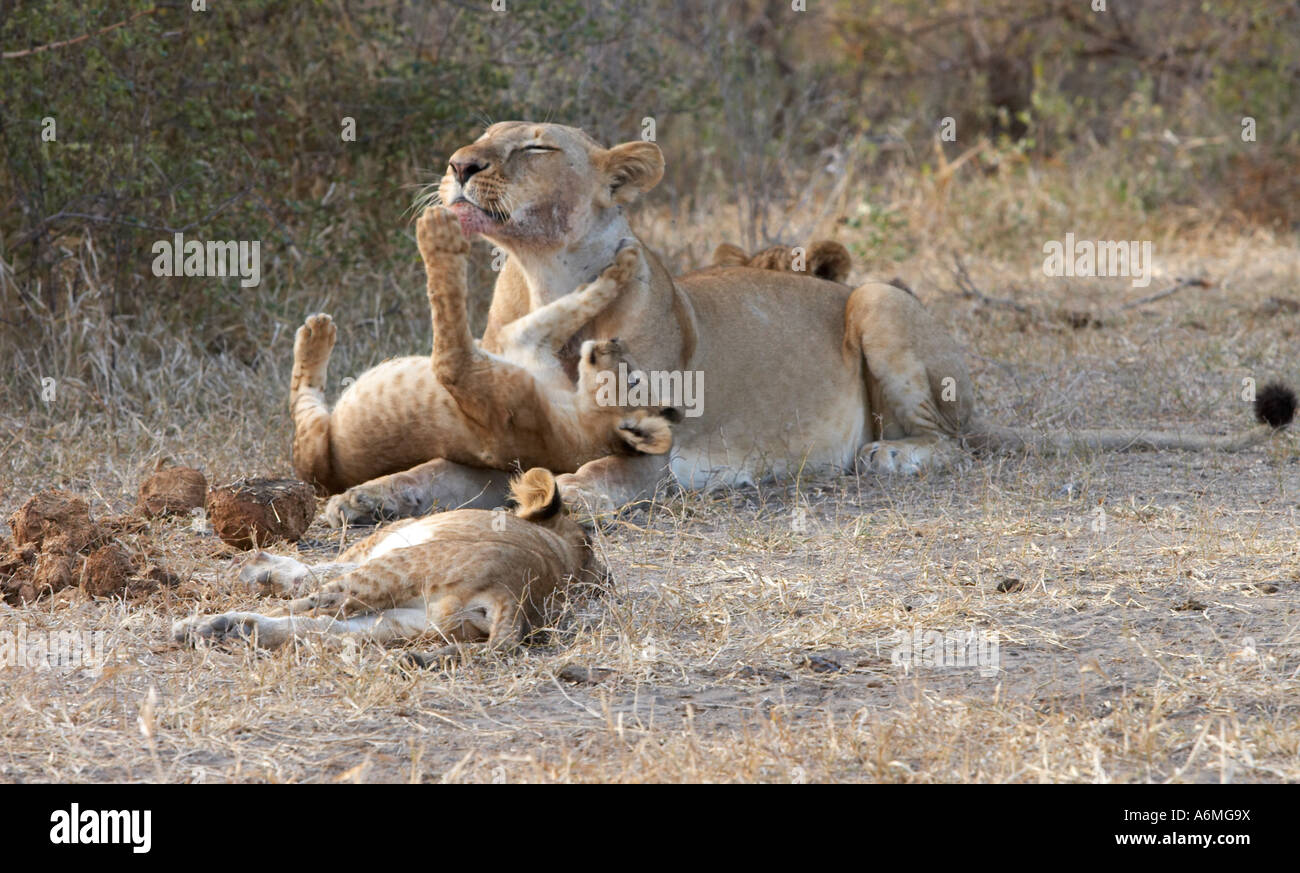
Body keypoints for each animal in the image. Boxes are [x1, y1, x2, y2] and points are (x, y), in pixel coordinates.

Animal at [172, 468, 602, 660]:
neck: (566, 551)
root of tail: (517, 593)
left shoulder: (379, 543)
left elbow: (317, 570)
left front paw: (246, 570)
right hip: (408, 624)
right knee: (318, 627)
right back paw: (229, 630)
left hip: (393, 569)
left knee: (308, 607)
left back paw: (204, 624)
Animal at [297, 121, 1295, 525]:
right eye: (477, 140)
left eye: (533, 146)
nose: (460, 166)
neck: (542, 276)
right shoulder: (488, 443)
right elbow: (426, 472)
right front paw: (356, 501)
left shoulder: (645, 450)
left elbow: (607, 475)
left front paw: (567, 492)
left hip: (879, 300)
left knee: (949, 443)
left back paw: (885, 456)